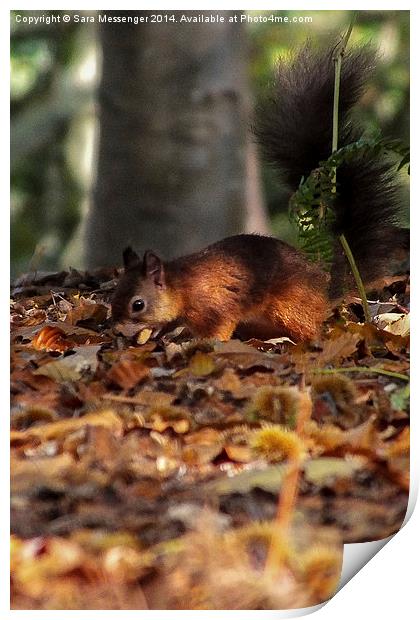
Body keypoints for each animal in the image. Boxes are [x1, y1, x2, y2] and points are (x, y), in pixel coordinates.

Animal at [110, 42, 406, 344]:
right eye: (113, 296)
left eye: (138, 304)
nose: (115, 328)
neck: (182, 286)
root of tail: (326, 288)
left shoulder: (215, 306)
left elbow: (219, 328)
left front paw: (202, 343)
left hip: (288, 308)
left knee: (309, 328)